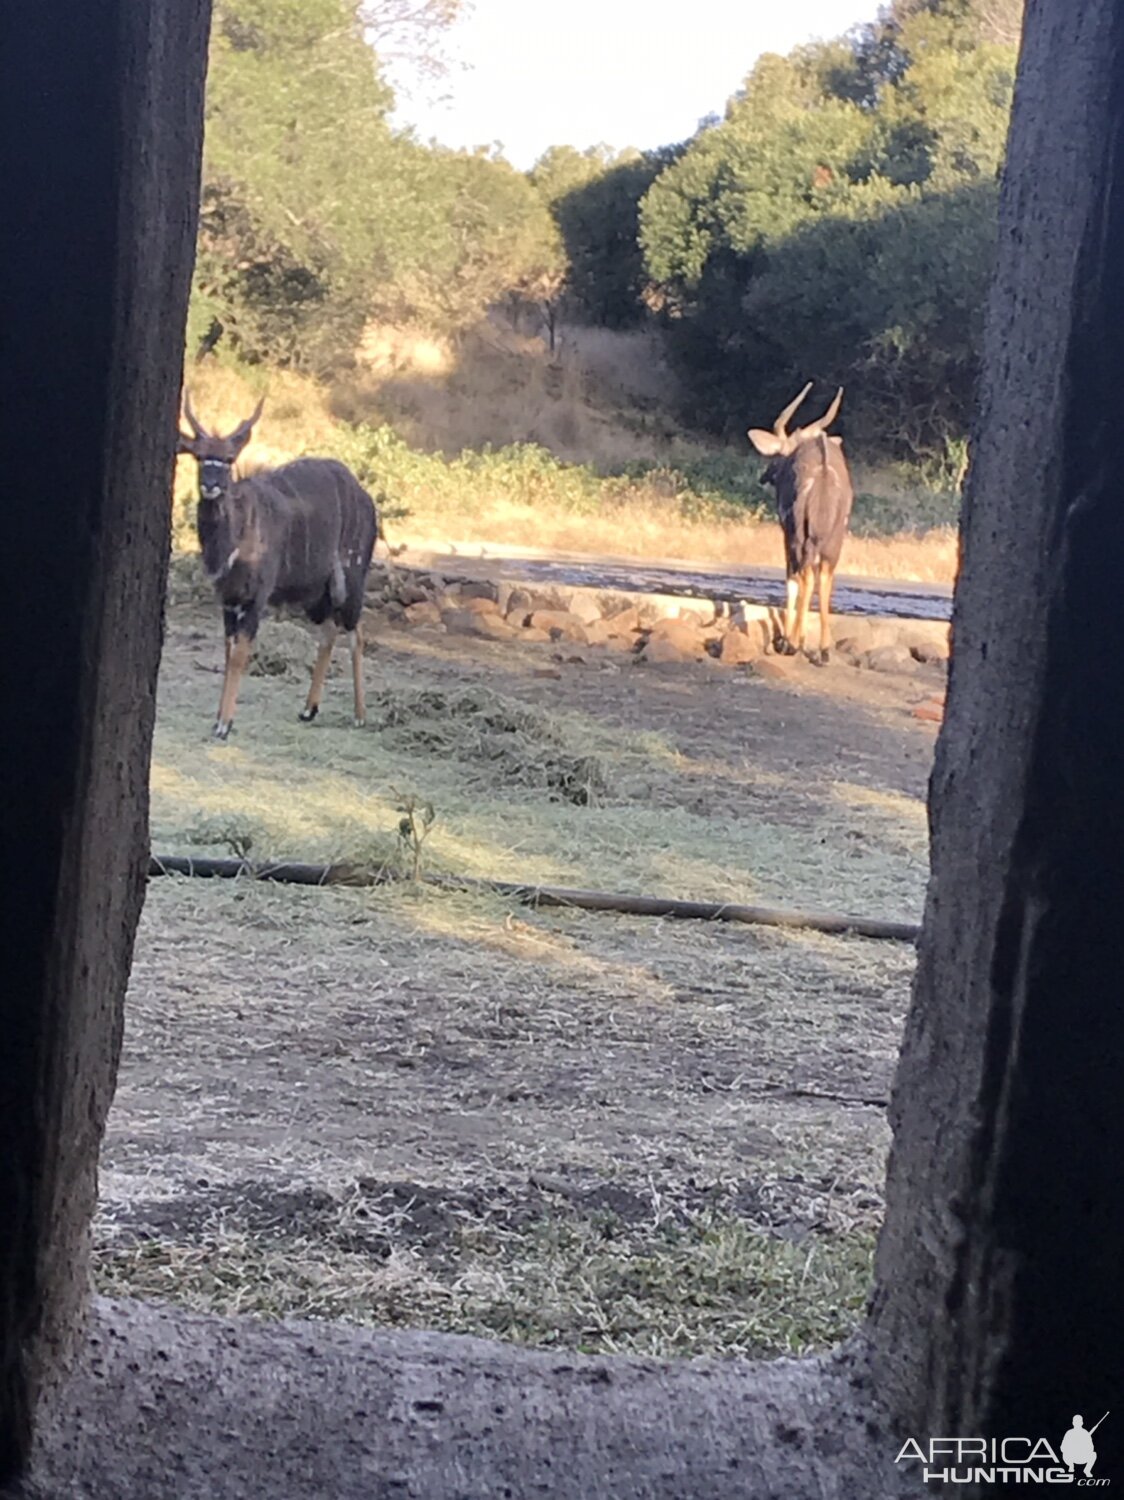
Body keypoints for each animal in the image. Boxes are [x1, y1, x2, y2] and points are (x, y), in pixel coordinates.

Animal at [177, 393, 379, 732]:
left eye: (229, 458)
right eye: (200, 456)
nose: (211, 485)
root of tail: (365, 497)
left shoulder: (256, 597)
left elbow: (240, 654)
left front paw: (224, 725)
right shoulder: (228, 599)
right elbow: (229, 651)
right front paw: (219, 720)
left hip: (351, 577)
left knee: (356, 632)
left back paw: (360, 715)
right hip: (316, 593)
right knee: (328, 632)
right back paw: (309, 709)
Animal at [750, 381, 852, 663]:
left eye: (778, 455)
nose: (765, 476)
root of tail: (824, 474)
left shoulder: (787, 533)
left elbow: (791, 580)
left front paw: (789, 639)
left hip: (799, 536)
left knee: (803, 576)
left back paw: (793, 643)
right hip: (832, 542)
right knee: (825, 577)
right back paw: (824, 649)